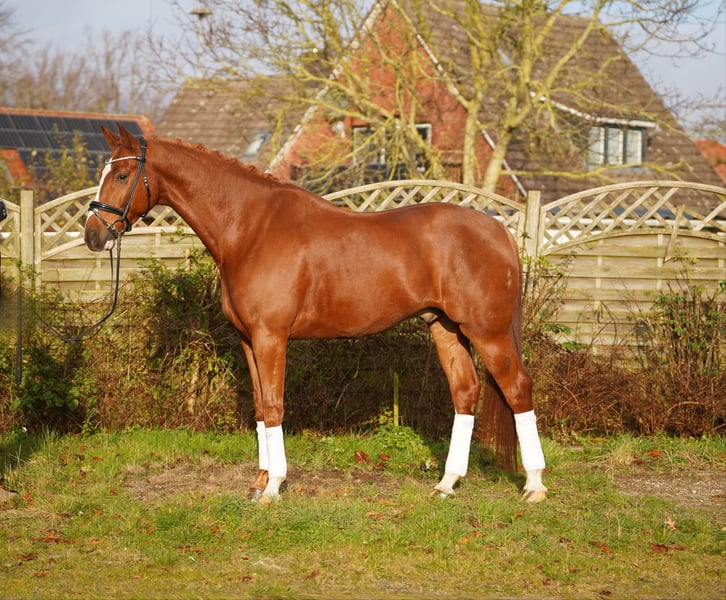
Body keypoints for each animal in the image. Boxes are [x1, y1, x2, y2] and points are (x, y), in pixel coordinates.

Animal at [84, 124, 548, 504]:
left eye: (121, 175)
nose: (93, 235)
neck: (251, 229)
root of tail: (498, 230)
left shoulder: (271, 337)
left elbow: (274, 406)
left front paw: (273, 488)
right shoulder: (248, 340)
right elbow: (259, 407)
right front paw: (259, 482)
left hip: (487, 331)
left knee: (517, 388)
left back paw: (534, 485)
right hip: (446, 328)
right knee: (466, 392)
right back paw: (447, 484)